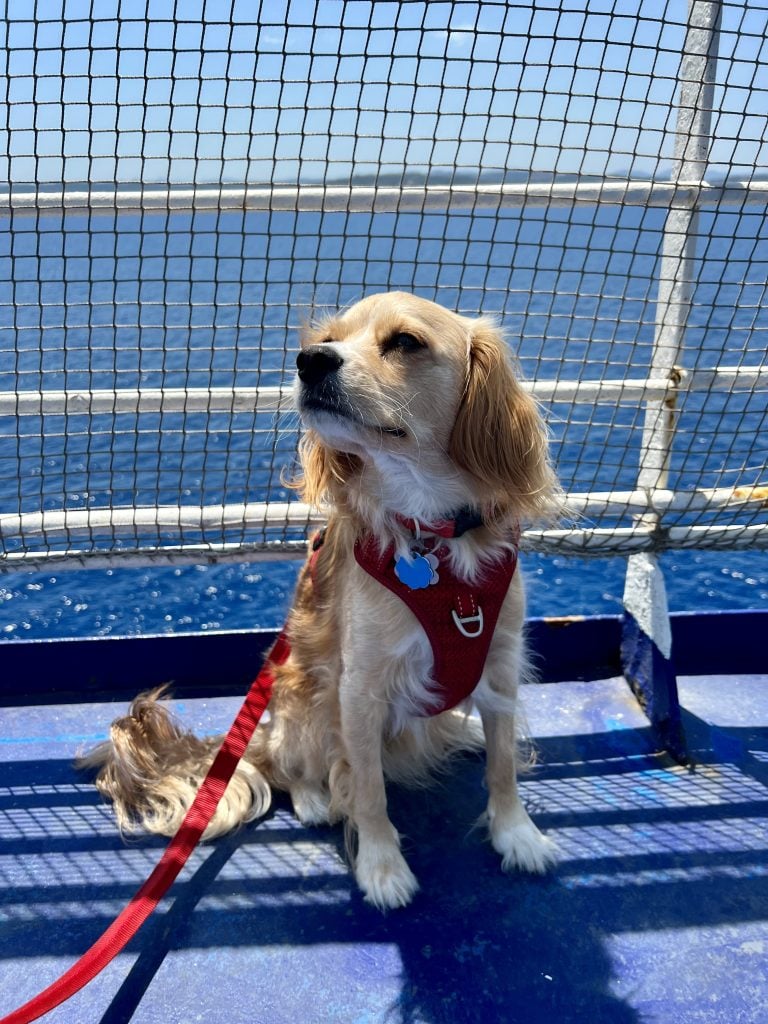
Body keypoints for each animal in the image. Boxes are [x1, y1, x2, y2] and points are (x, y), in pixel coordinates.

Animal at [81, 292, 561, 909]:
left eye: (405, 342)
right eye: (329, 339)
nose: (309, 360)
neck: (431, 528)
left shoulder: (500, 662)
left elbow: (503, 766)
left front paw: (516, 834)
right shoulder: (358, 689)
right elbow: (369, 788)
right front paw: (382, 867)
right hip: (301, 698)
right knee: (298, 765)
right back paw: (313, 797)